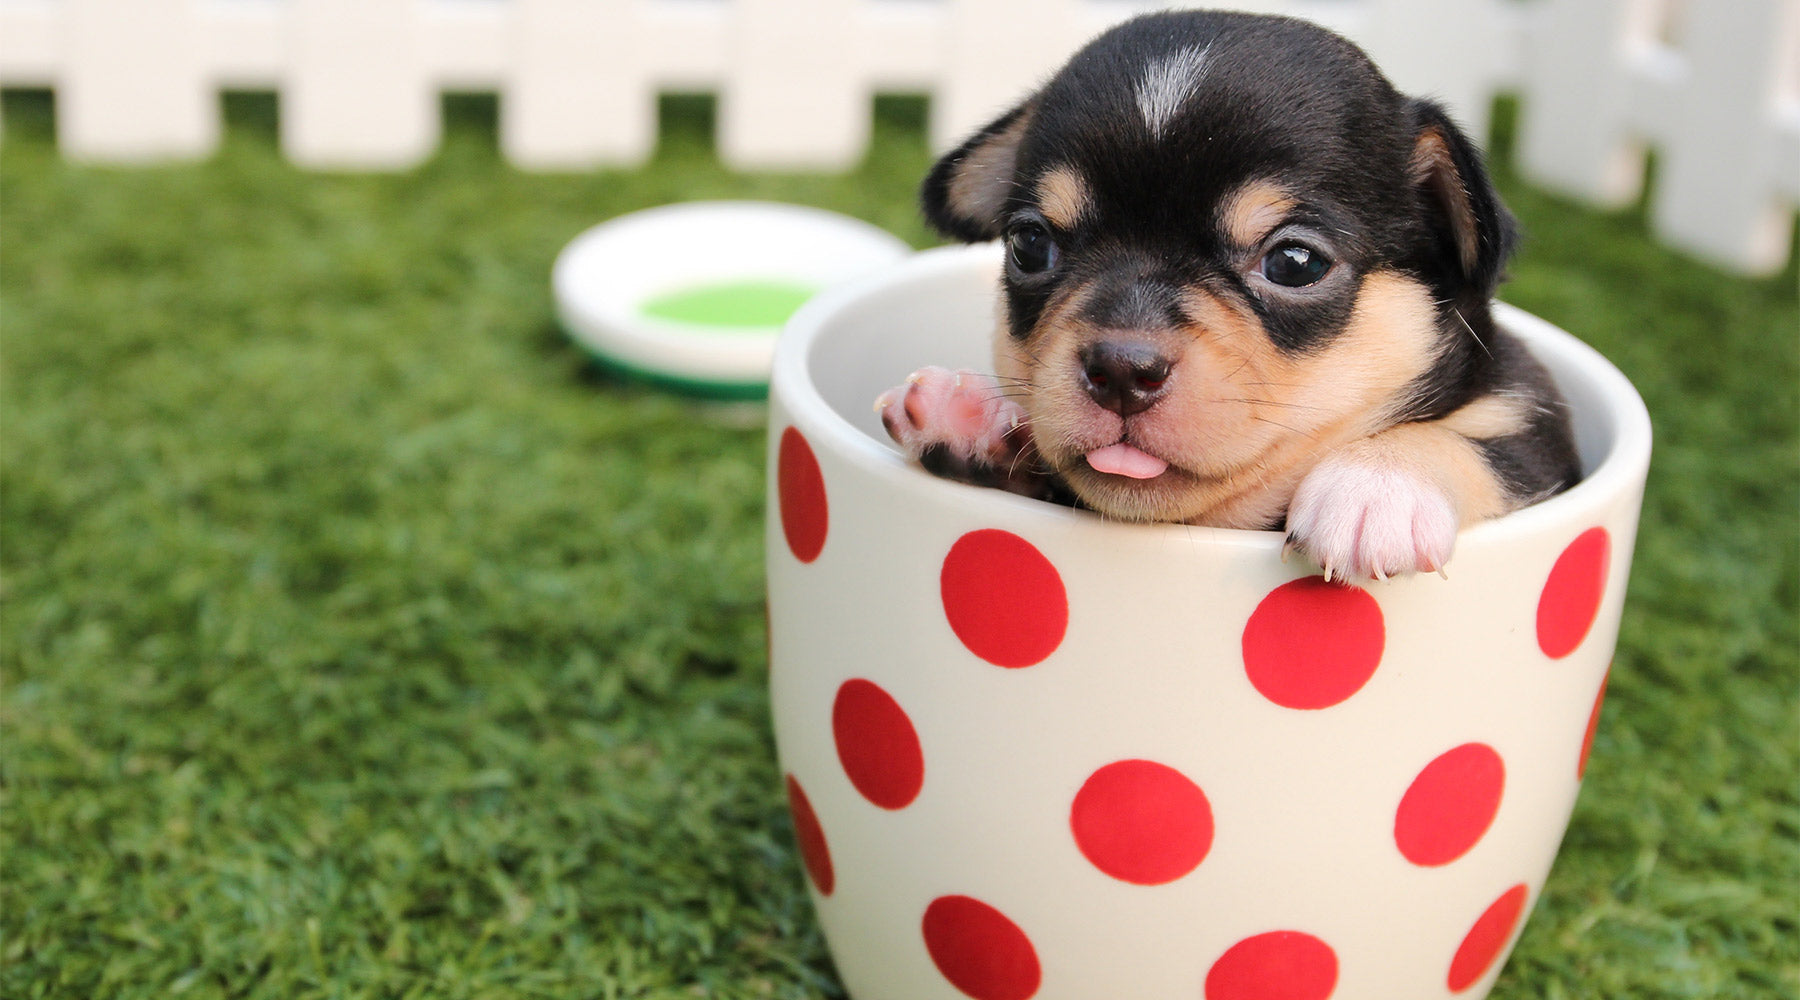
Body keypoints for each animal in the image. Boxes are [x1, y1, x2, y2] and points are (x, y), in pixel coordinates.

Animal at [878, 9, 1584, 579]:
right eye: (1029, 245)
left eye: (1295, 263)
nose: (1121, 368)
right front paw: (968, 415)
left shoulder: (1537, 427)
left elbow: (1480, 441)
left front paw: (1377, 486)